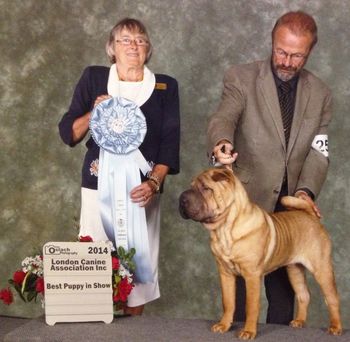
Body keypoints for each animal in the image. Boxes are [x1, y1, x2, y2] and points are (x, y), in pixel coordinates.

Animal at [179, 167, 344, 338]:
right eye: (191, 186)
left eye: (206, 188)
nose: (182, 198)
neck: (225, 229)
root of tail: (310, 216)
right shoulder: (225, 273)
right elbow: (228, 302)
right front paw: (223, 325)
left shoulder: (252, 276)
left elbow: (251, 306)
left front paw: (248, 331)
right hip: (294, 269)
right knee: (303, 294)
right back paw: (299, 322)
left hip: (322, 269)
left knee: (332, 298)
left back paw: (335, 327)